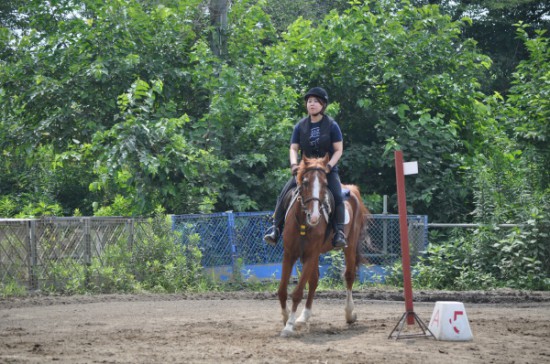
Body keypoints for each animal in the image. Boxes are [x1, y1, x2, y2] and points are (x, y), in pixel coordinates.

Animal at [278, 155, 374, 336]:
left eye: (324, 183)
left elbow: (297, 292)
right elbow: (282, 290)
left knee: (349, 275)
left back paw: (349, 313)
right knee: (314, 281)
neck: (303, 222)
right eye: (305, 182)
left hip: (349, 246)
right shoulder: (290, 254)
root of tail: (351, 189)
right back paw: (304, 316)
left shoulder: (311, 254)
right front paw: (286, 317)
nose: (315, 216)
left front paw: (289, 325)